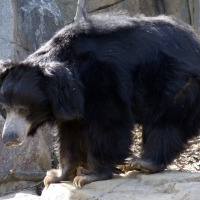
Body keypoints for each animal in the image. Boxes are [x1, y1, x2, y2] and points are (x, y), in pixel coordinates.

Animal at [0, 12, 200, 188]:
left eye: (23, 109)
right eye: (5, 110)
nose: (9, 139)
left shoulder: (102, 79)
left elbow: (107, 121)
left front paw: (89, 176)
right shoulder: (70, 104)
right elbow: (70, 133)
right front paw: (56, 176)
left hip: (174, 80)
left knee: (166, 120)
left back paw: (142, 162)